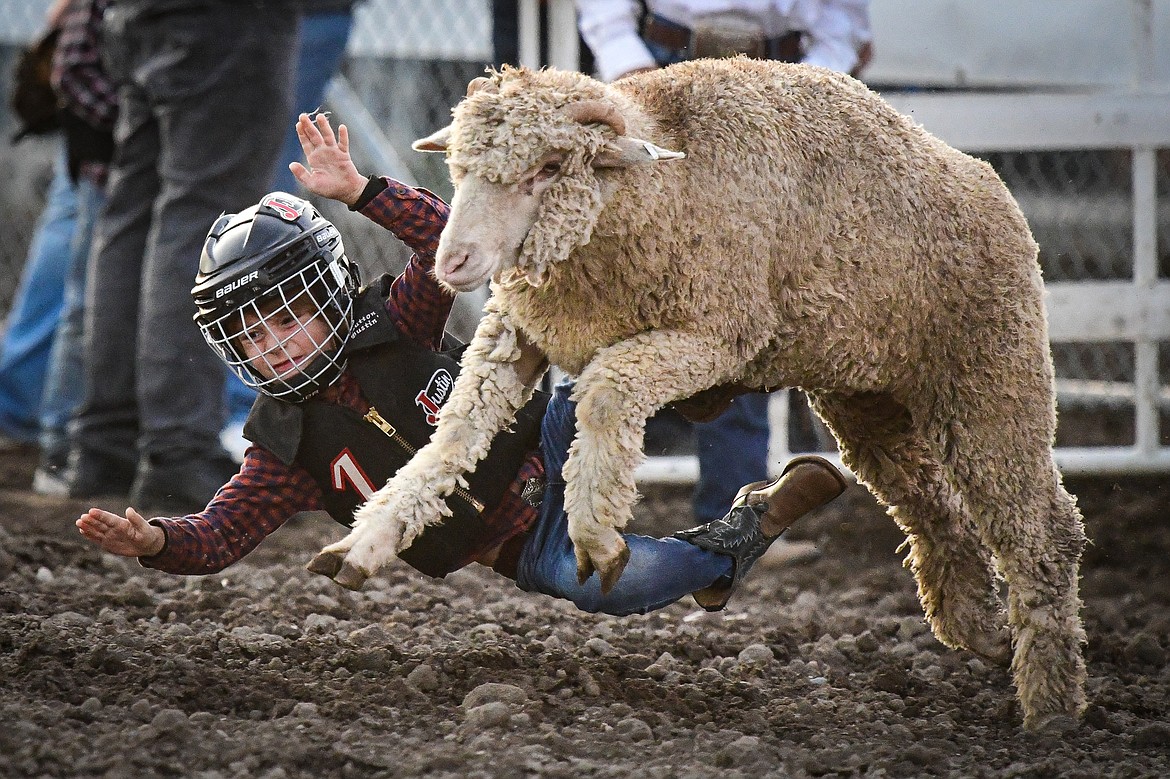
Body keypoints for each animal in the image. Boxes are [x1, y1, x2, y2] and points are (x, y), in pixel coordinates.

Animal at [308, 59, 1085, 729]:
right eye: (461, 167)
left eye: (549, 168)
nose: (453, 261)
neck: (655, 194)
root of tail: (980, 177)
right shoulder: (516, 334)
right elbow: (452, 441)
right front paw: (368, 540)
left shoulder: (716, 336)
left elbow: (605, 393)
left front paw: (597, 536)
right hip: (867, 396)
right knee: (933, 509)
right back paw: (978, 629)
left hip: (990, 373)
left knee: (1039, 530)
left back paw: (1050, 703)